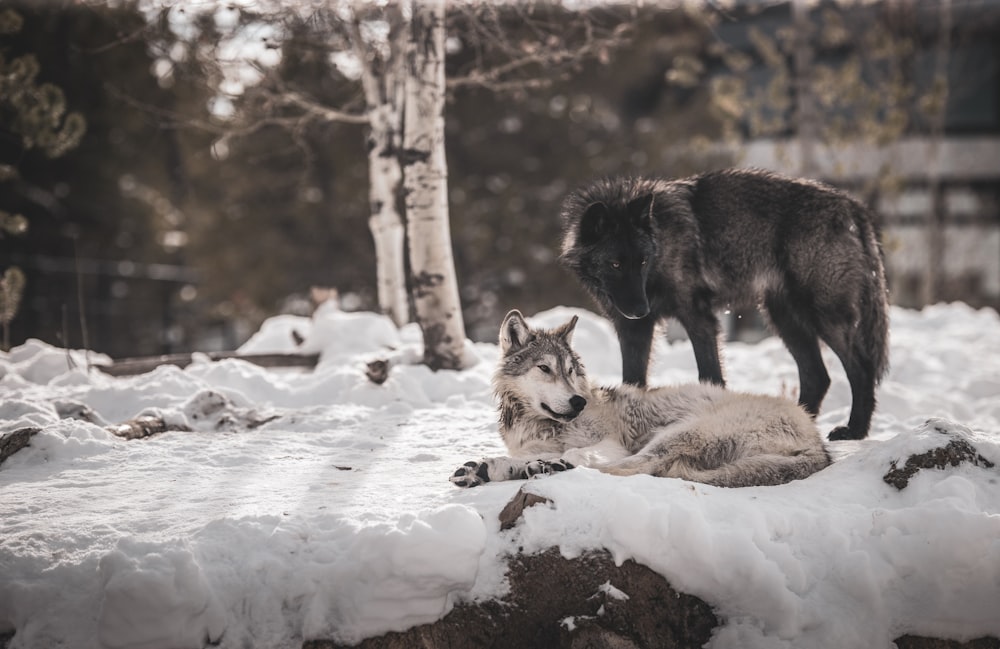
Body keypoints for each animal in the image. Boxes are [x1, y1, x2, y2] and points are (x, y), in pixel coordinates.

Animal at [450, 312, 832, 488]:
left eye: (570, 370)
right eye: (545, 368)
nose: (578, 402)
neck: (539, 424)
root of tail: (819, 443)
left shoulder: (611, 444)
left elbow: (580, 453)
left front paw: (548, 464)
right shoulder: (532, 446)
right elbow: (524, 457)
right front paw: (488, 467)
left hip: (676, 434)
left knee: (636, 468)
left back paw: (555, 469)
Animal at [564, 167, 892, 440]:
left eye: (642, 261)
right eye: (616, 264)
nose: (640, 310)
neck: (663, 240)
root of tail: (853, 206)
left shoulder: (697, 317)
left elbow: (710, 373)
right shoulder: (633, 329)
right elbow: (633, 380)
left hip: (823, 315)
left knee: (861, 369)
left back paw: (854, 430)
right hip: (784, 318)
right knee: (817, 376)